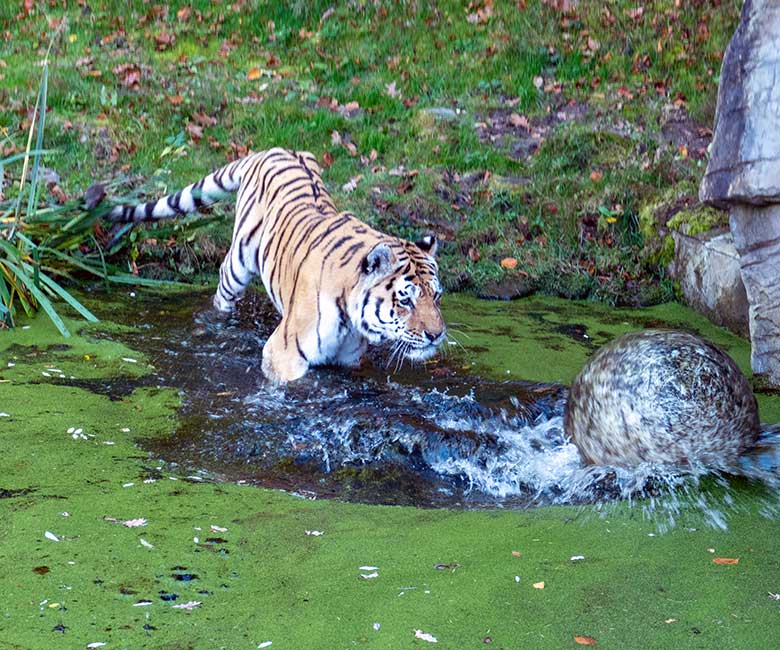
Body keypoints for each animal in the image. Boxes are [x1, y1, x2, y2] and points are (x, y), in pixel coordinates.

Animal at [110, 147, 450, 380]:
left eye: (436, 296)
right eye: (405, 300)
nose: (437, 335)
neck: (352, 319)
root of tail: (273, 149)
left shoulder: (349, 360)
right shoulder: (283, 356)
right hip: (237, 265)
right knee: (222, 292)